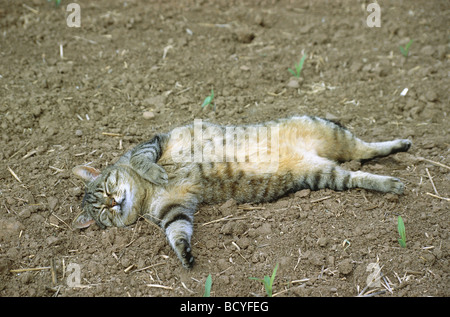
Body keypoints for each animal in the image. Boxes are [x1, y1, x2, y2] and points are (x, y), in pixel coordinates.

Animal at [71, 115, 412, 268]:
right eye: (101, 212)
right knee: (357, 171)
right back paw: (389, 182)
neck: (144, 193)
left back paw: (400, 145)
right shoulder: (174, 207)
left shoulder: (153, 143)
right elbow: (178, 230)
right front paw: (184, 253)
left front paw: (155, 171)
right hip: (323, 174)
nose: (114, 202)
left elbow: (143, 160)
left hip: (330, 132)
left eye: (106, 189)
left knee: (365, 148)